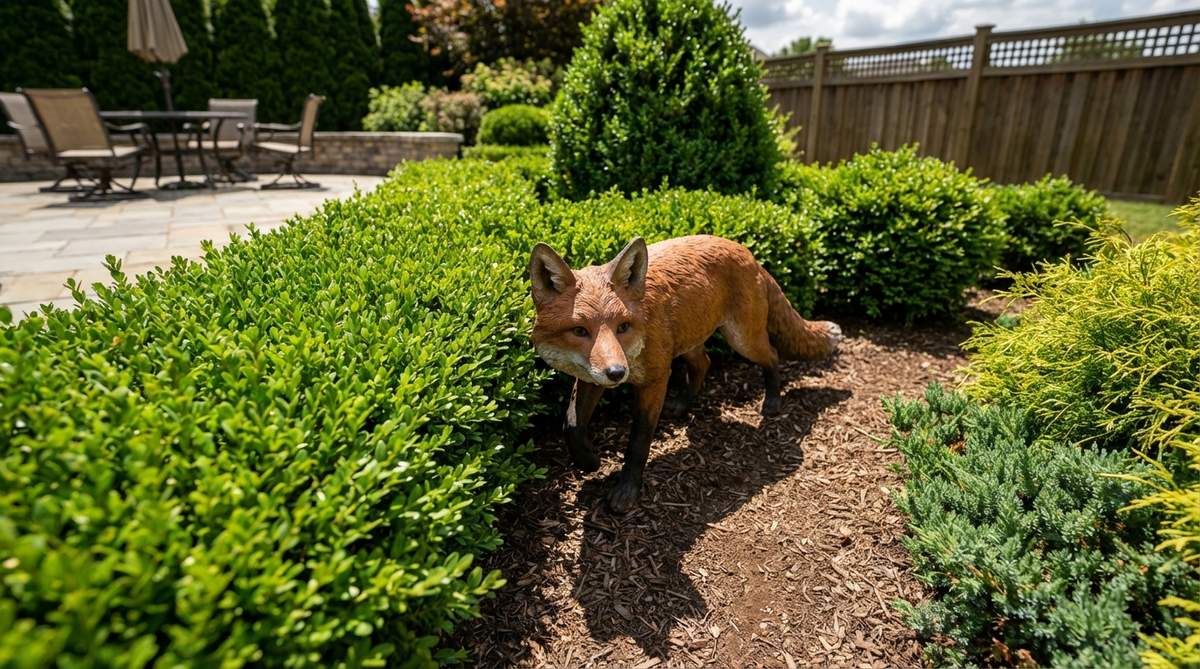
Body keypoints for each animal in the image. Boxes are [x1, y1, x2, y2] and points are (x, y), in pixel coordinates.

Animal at [528, 234, 842, 513]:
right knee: (704, 363)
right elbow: (571, 424)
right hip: (689, 342)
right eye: (580, 331)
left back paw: (773, 401)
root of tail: (747, 253)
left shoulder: (656, 378)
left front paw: (626, 491)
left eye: (623, 327)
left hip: (742, 340)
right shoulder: (593, 376)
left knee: (773, 356)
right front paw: (589, 462)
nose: (617, 373)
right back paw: (682, 405)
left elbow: (639, 440)